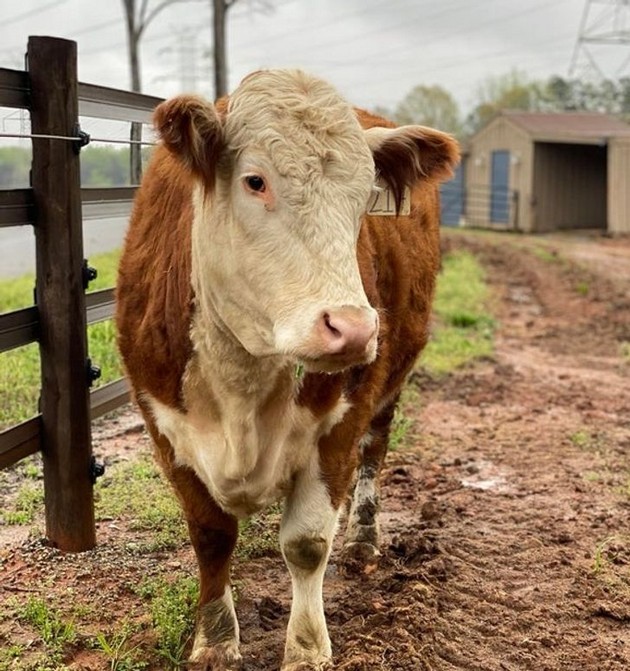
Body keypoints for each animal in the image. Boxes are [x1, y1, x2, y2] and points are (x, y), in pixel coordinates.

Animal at [116, 71, 460, 668]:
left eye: (365, 197)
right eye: (255, 181)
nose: (353, 328)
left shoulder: (340, 421)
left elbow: (305, 542)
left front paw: (307, 648)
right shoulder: (163, 425)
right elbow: (211, 536)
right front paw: (215, 640)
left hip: (390, 384)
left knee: (375, 452)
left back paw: (363, 538)